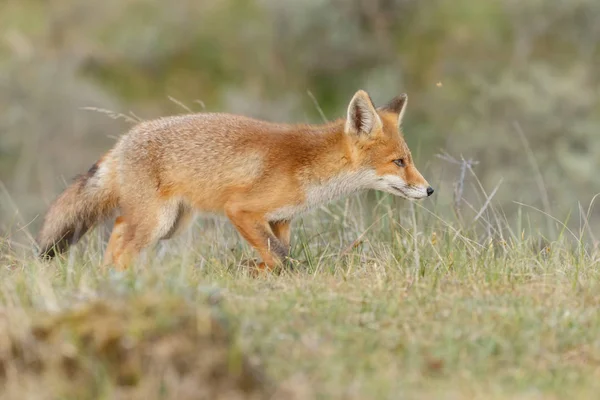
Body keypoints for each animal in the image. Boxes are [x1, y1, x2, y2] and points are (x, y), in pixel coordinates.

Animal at [37, 90, 434, 272]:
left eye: (409, 160)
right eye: (399, 162)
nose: (430, 189)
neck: (310, 168)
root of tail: (123, 141)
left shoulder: (280, 219)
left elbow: (279, 251)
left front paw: (258, 271)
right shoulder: (240, 210)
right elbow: (279, 257)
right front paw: (262, 272)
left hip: (172, 224)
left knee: (119, 229)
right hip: (158, 222)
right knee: (125, 244)